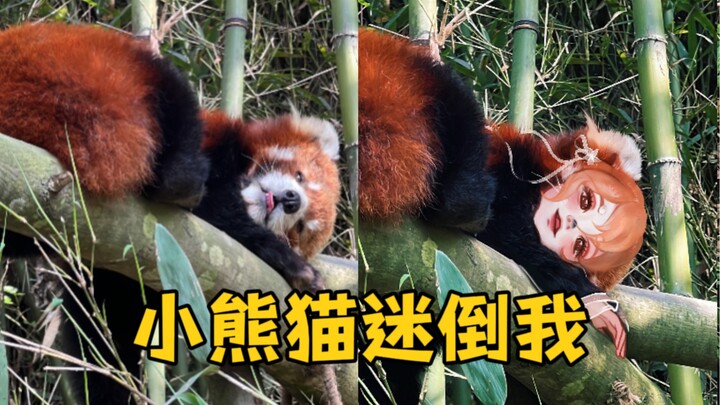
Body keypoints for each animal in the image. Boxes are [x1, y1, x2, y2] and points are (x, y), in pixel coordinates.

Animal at [0, 22, 341, 403]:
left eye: (301, 227)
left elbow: (105, 336)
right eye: (300, 176)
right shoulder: (218, 148)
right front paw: (294, 265)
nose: (292, 200)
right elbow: (225, 215)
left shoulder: (119, 273)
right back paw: (181, 179)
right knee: (167, 87)